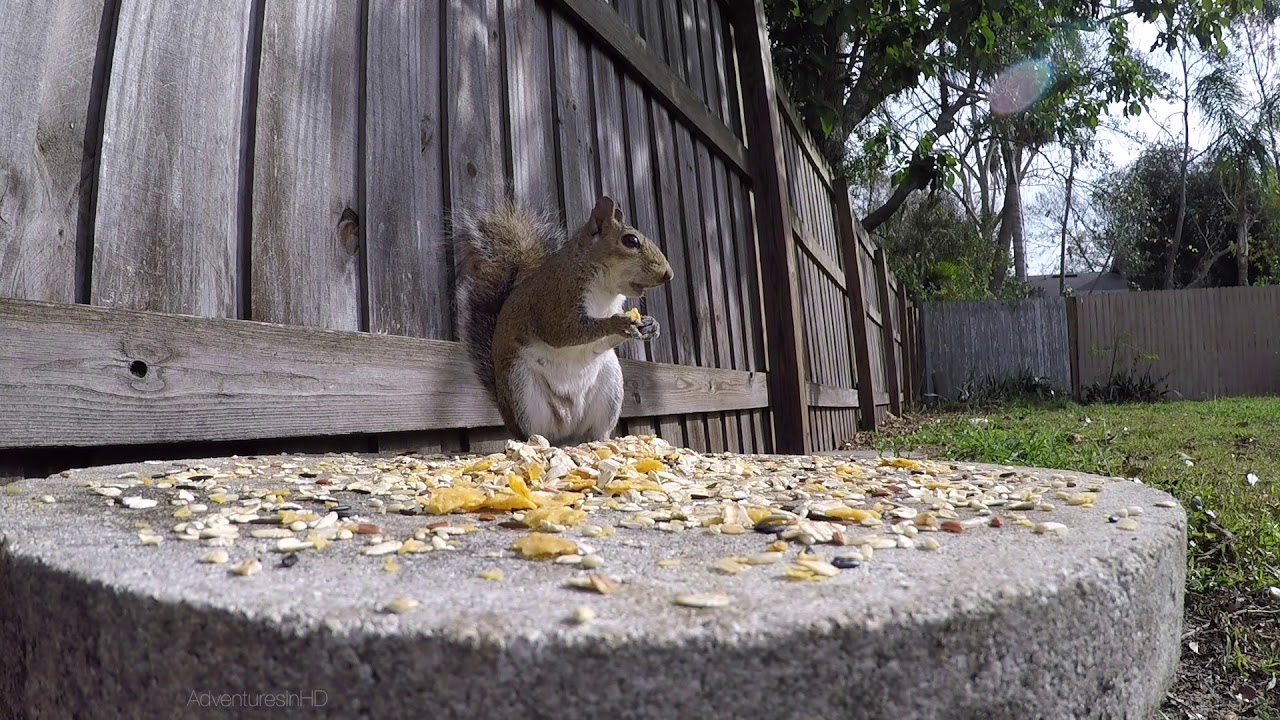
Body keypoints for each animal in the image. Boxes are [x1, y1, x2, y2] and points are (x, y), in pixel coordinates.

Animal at [454, 195, 674, 446]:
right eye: (631, 241)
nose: (668, 274)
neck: (605, 289)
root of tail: (567, 433)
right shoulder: (555, 302)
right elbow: (563, 333)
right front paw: (618, 323)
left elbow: (602, 342)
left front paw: (651, 325)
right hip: (522, 390)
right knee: (537, 432)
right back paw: (539, 443)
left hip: (610, 388)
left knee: (595, 431)